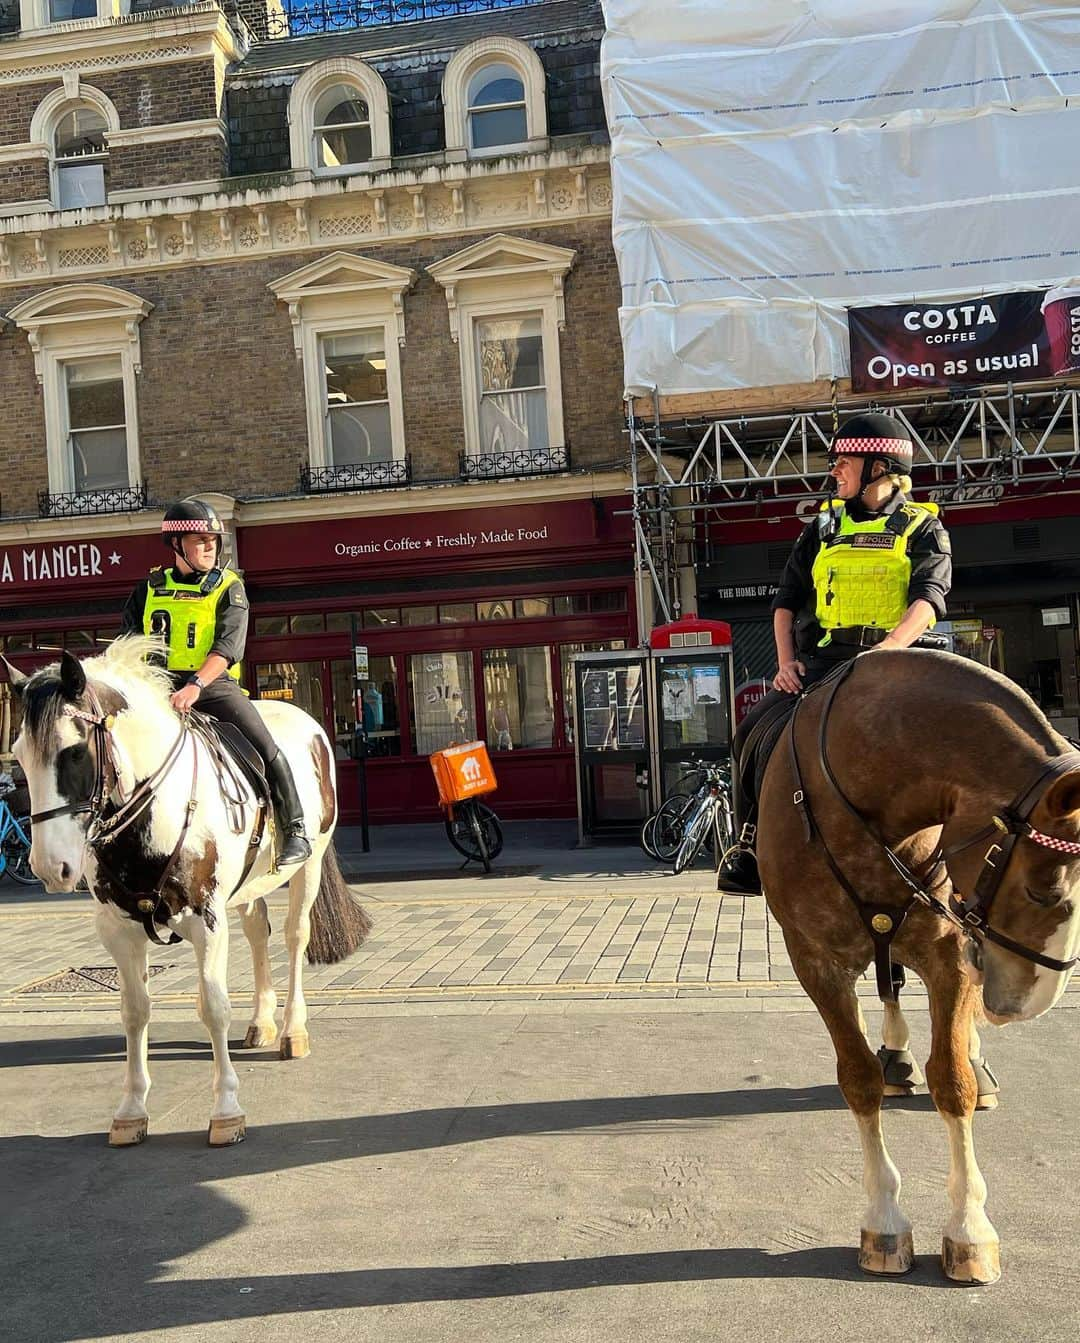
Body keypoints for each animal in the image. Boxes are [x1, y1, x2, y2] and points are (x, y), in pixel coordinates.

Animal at [6, 636, 370, 1144]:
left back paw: (292, 1030)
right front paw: (131, 1110)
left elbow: (214, 1007)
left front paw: (227, 1110)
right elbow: (134, 1011)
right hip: (248, 886)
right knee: (258, 933)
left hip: (309, 867)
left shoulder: (207, 921)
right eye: (19, 755)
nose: (49, 868)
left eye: (75, 753)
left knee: (295, 936)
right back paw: (261, 1022)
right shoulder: (117, 931)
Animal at [757, 655, 1080, 1283]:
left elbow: (951, 1081)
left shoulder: (951, 953)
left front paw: (970, 1230)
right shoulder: (815, 961)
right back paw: (897, 1057)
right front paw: (884, 1220)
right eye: (1043, 889)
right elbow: (858, 1079)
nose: (1032, 1002)